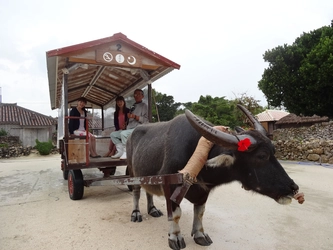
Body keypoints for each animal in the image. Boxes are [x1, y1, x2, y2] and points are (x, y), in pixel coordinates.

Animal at [126, 104, 298, 249]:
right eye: (261, 156)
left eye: (274, 151)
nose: (293, 187)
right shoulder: (171, 187)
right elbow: (176, 214)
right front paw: (175, 237)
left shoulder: (204, 191)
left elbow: (200, 212)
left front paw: (200, 235)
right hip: (133, 173)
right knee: (136, 191)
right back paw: (136, 213)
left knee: (148, 190)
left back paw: (153, 209)